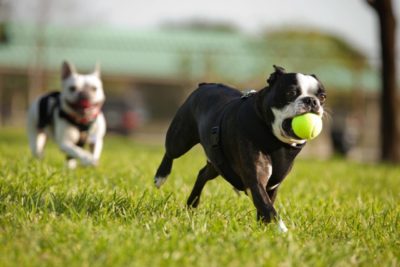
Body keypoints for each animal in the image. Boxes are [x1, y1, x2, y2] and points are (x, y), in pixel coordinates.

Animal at [155, 65, 326, 232]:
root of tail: (205, 85)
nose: (311, 101)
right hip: (180, 138)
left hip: (218, 162)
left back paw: (192, 205)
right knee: (170, 152)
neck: (276, 141)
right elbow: (268, 208)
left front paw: (263, 230)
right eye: (291, 93)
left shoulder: (272, 186)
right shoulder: (255, 180)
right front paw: (283, 232)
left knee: (203, 174)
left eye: (323, 97)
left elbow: (264, 208)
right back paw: (161, 176)